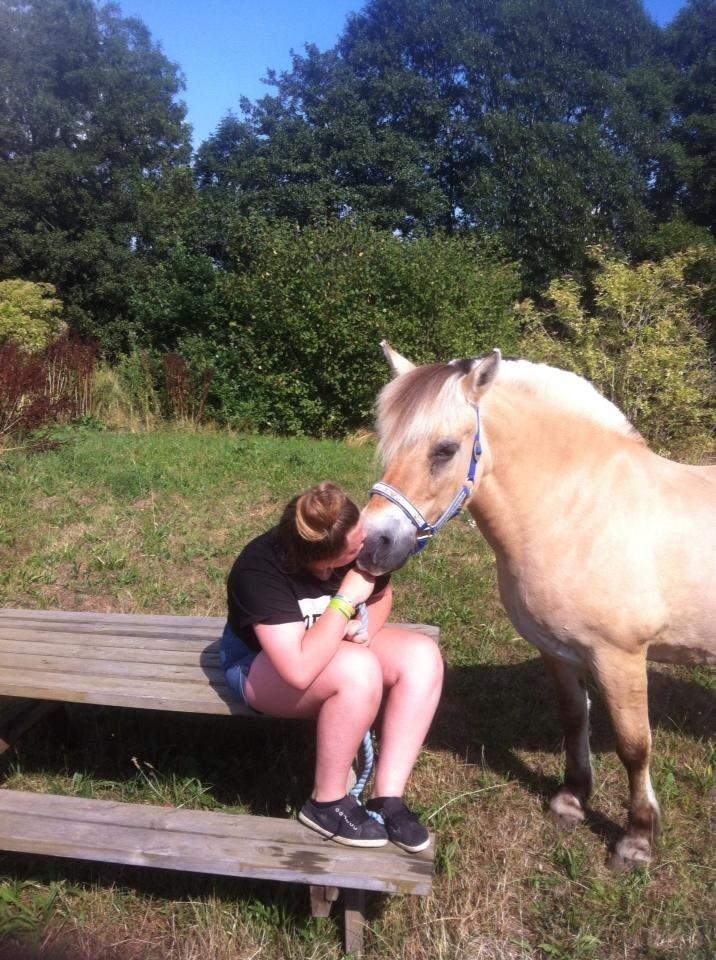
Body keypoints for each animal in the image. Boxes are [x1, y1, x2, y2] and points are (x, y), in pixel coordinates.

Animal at [358, 342, 716, 868]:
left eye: (444, 450)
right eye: (387, 443)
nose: (370, 545)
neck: (580, 511)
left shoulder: (621, 658)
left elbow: (634, 746)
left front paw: (637, 839)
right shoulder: (559, 651)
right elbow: (574, 719)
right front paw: (571, 801)